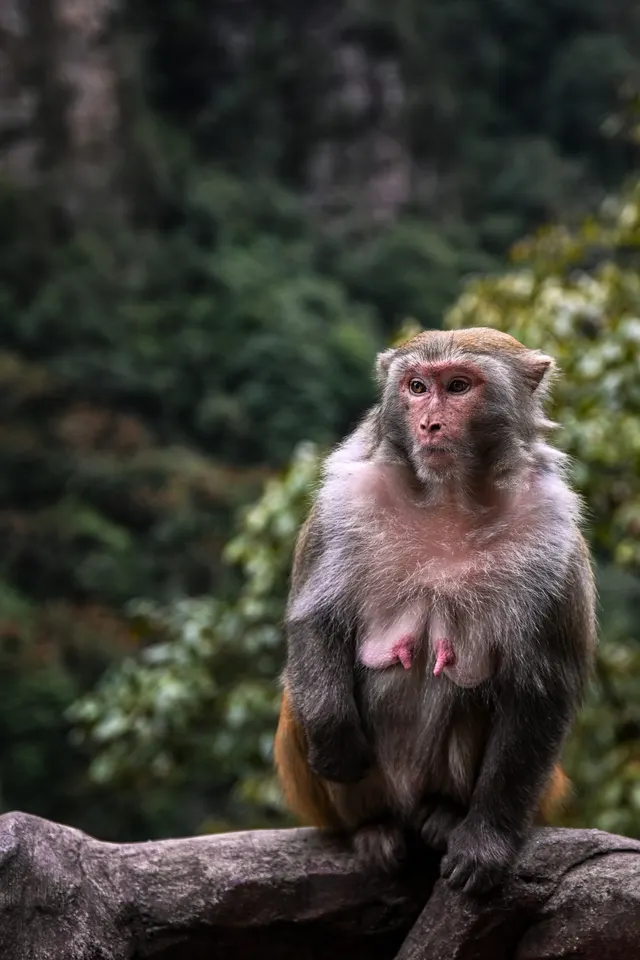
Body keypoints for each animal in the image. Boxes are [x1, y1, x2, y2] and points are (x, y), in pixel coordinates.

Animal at [274, 327, 597, 895]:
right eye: (418, 386)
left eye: (459, 386)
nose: (429, 423)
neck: (449, 496)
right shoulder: (341, 501)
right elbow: (315, 619)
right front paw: (336, 739)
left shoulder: (552, 534)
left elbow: (541, 686)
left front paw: (486, 840)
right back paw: (373, 827)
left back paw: (445, 814)